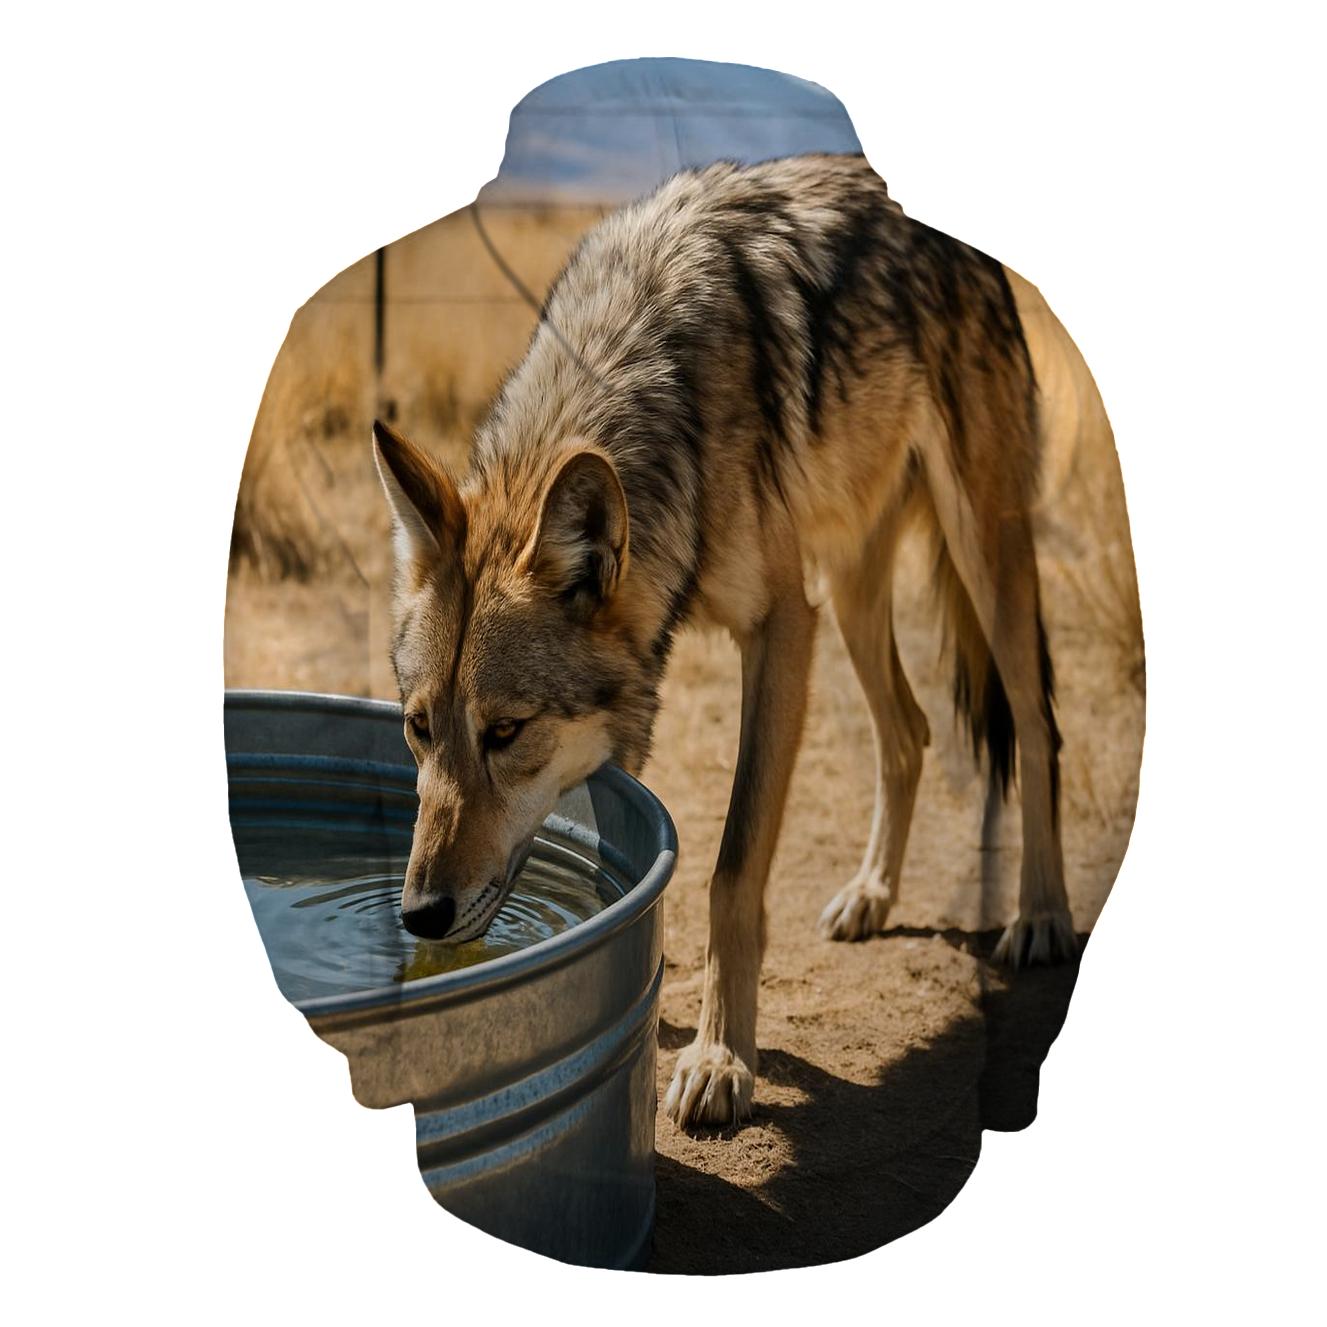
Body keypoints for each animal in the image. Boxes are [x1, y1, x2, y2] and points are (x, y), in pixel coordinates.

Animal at [372, 152, 1075, 1131]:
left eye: (505, 732)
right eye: (417, 728)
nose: (420, 915)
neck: (653, 383)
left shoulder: (780, 625)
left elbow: (731, 869)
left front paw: (718, 1060)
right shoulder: (738, 642)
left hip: (978, 552)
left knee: (1036, 725)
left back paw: (1039, 914)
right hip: (850, 591)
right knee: (908, 732)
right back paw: (870, 896)